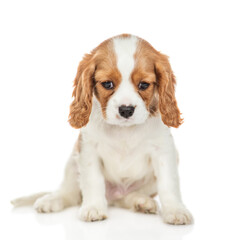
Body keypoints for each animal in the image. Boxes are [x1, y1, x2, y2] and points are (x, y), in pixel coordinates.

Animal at [12, 33, 192, 225]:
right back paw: (52, 200)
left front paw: (175, 210)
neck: (124, 131)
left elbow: (168, 183)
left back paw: (141, 202)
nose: (126, 110)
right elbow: (93, 180)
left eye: (144, 85)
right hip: (72, 162)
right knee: (70, 193)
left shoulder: (164, 151)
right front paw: (93, 208)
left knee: (124, 198)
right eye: (107, 84)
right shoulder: (88, 149)